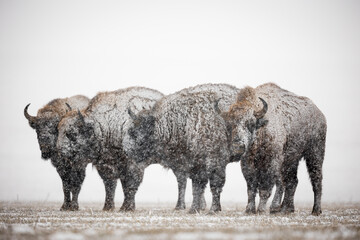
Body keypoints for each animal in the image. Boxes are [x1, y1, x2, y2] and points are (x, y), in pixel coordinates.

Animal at [124, 83, 242, 214]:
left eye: (134, 131)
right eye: (130, 130)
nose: (127, 150)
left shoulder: (213, 162)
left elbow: (212, 184)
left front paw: (210, 209)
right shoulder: (189, 165)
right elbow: (194, 186)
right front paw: (193, 208)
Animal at [219, 83, 326, 215]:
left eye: (251, 123)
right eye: (230, 125)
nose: (238, 145)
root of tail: (320, 114)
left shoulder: (271, 163)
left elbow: (265, 188)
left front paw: (261, 210)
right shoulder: (247, 164)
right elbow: (251, 189)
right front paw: (249, 210)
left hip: (315, 153)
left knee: (316, 179)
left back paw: (316, 210)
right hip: (291, 161)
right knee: (292, 182)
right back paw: (286, 209)